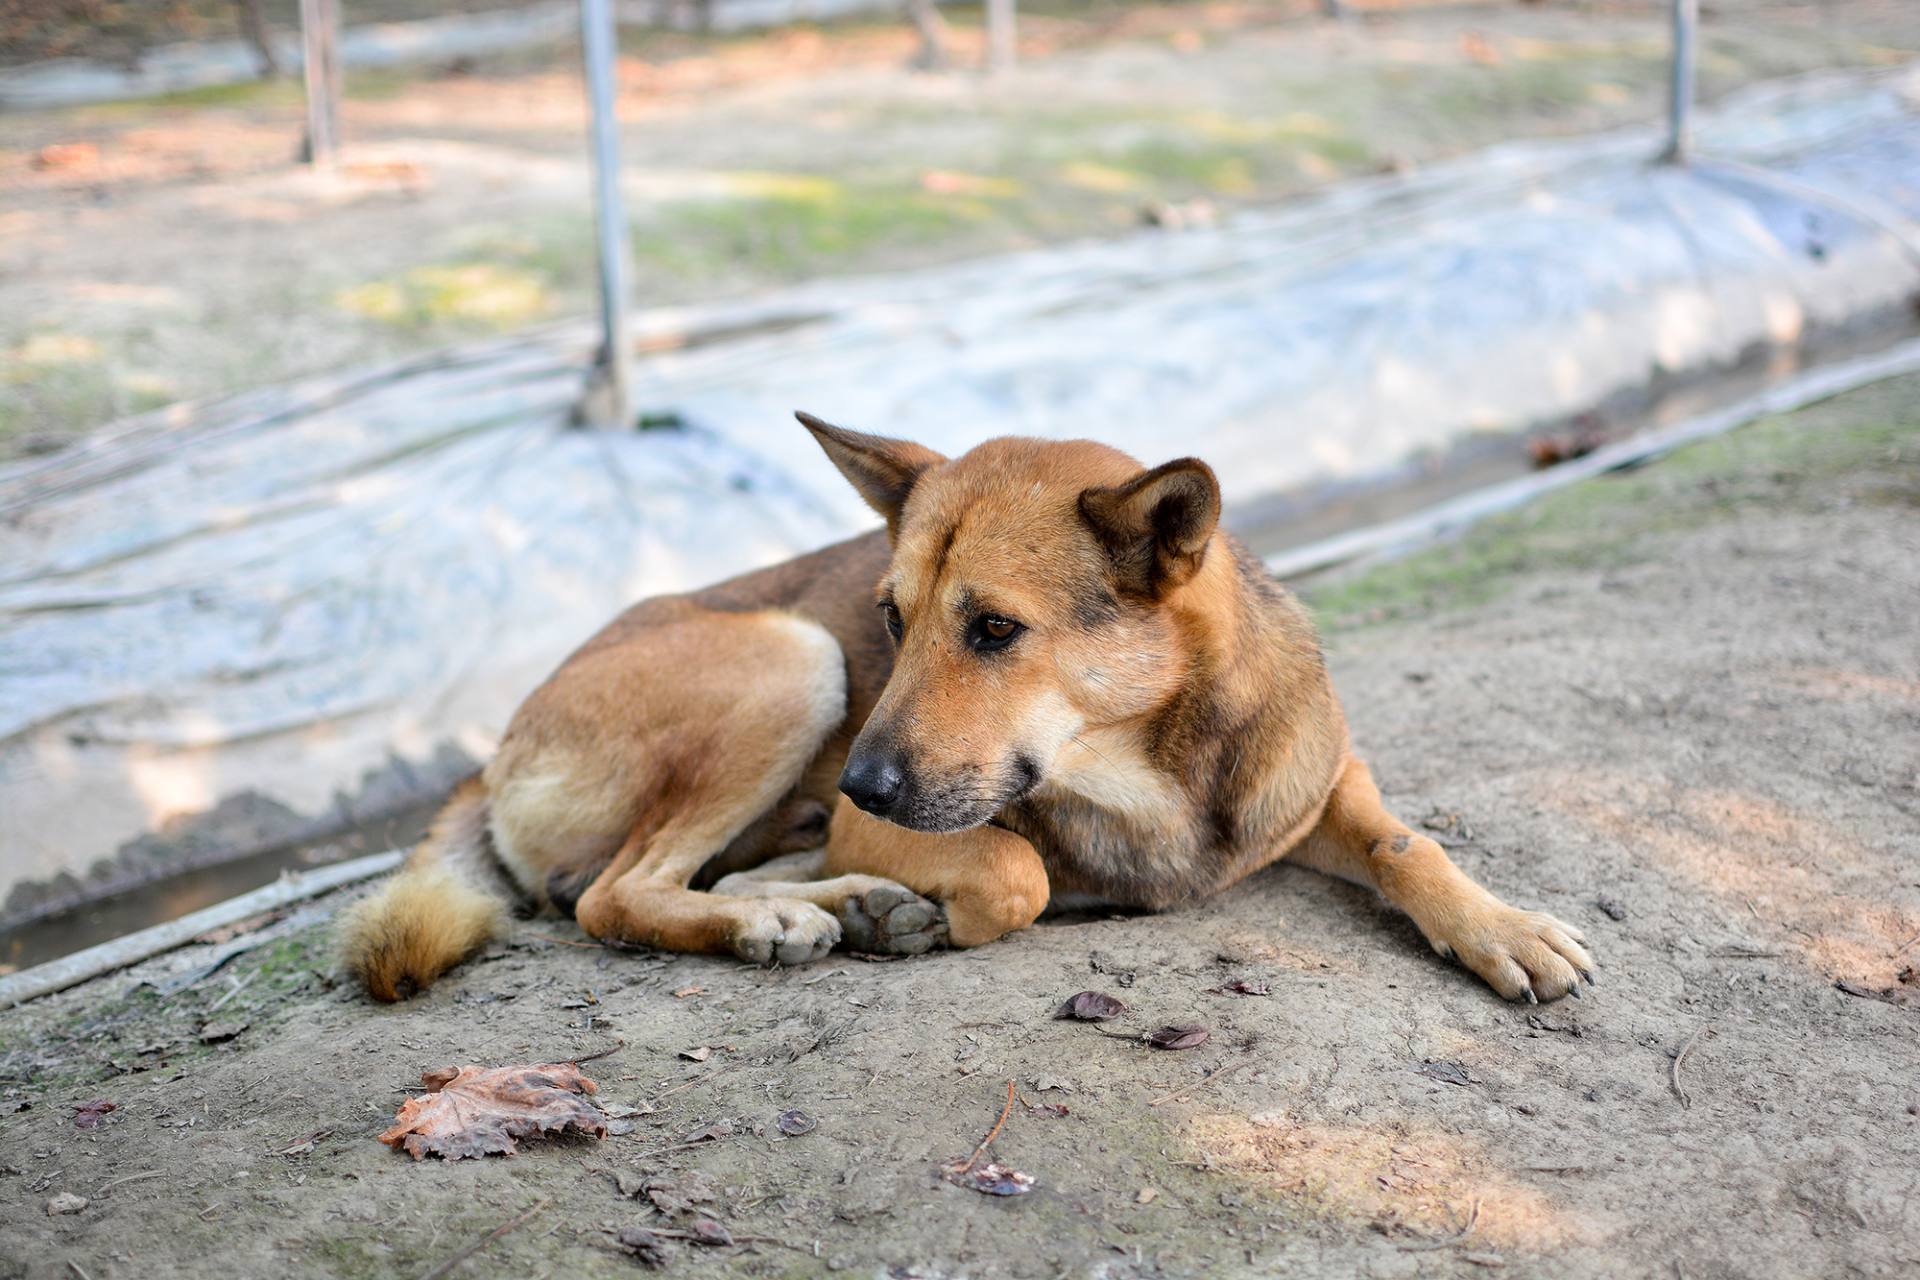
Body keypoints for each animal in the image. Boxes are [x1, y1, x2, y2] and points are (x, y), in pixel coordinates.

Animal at [341, 416, 1589, 1005]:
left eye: (992, 627)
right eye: (892, 616)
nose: (855, 782)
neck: (1149, 767)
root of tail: (491, 749)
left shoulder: (1315, 780)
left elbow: (1404, 840)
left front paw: (1501, 923)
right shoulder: (912, 810)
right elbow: (1016, 868)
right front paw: (942, 910)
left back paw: (825, 901)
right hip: (793, 660)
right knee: (614, 895)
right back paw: (799, 915)